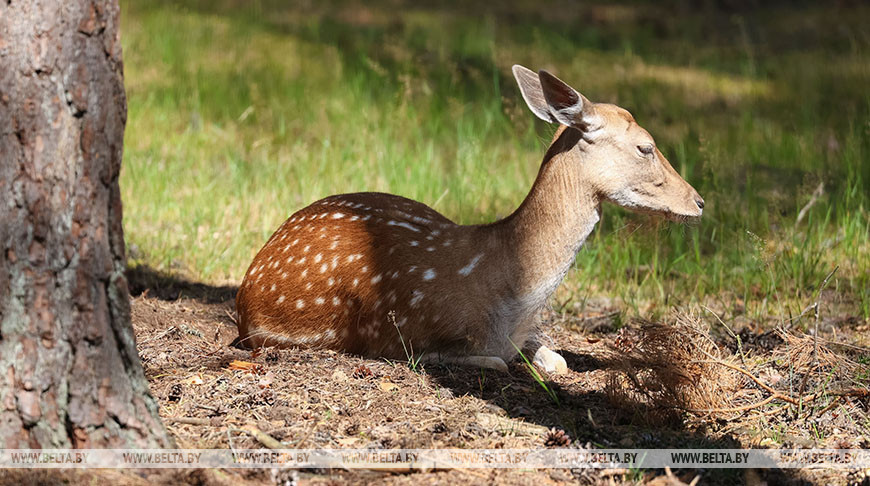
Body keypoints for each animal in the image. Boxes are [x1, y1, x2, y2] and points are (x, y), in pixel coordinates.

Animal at [235, 65, 704, 376]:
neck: (509, 300)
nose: (699, 202)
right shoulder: (401, 338)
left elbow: (557, 360)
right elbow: (496, 361)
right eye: (646, 147)